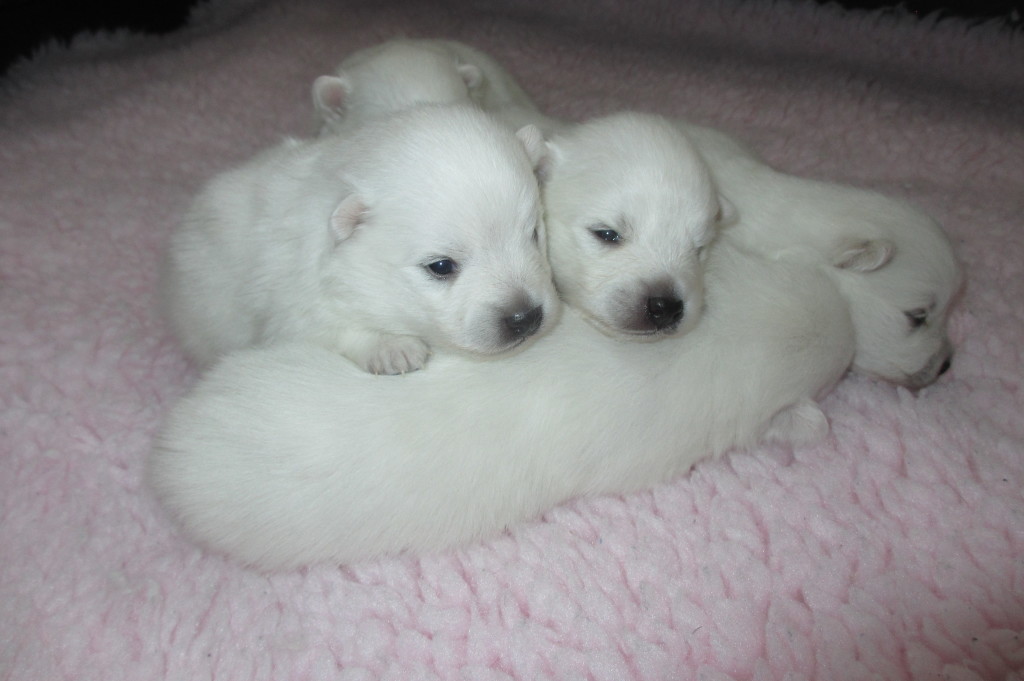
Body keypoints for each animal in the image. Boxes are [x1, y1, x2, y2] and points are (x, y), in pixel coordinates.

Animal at [161, 104, 557, 374]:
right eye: (441, 266)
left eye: (534, 234)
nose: (525, 318)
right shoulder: (294, 306)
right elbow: (334, 330)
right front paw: (394, 349)